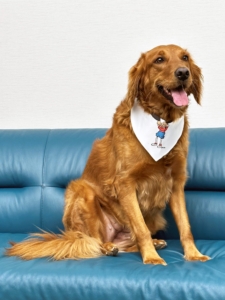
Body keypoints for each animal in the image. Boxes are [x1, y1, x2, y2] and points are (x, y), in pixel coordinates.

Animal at [6, 44, 210, 264]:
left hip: (155, 217)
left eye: (185, 57)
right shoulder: (125, 183)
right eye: (159, 60)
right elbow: (141, 229)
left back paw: (152, 243)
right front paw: (151, 258)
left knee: (130, 242)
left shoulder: (176, 183)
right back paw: (108, 247)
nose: (183, 73)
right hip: (82, 192)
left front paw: (193, 254)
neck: (161, 120)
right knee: (93, 240)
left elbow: (185, 227)